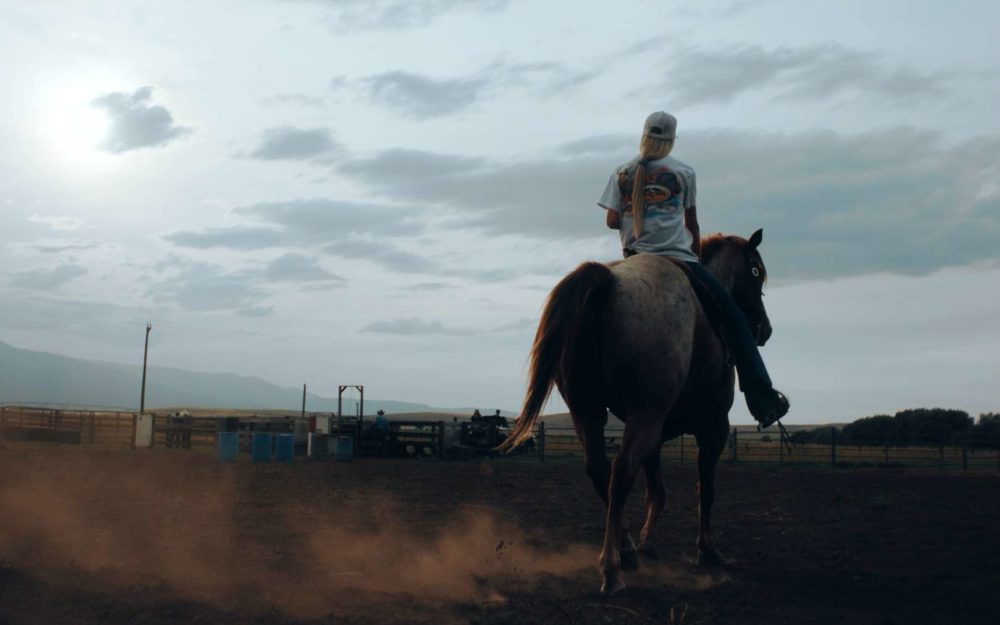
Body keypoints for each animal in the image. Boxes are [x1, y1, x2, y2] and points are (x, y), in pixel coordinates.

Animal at [499, 229, 774, 596]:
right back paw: (612, 568)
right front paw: (707, 550)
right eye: (756, 272)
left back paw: (626, 551)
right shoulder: (713, 425)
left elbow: (656, 490)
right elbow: (705, 487)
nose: (764, 329)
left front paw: (647, 543)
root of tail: (607, 280)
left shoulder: (655, 430)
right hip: (646, 414)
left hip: (589, 412)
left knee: (601, 470)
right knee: (622, 470)